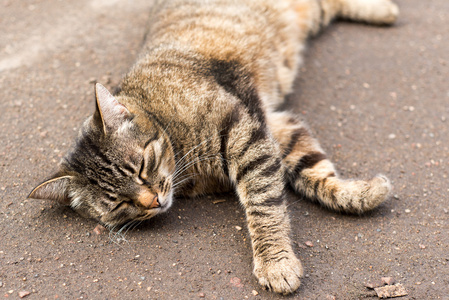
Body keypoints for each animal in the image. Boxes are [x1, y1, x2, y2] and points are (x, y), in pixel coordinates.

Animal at [29, 0, 398, 296]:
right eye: (120, 203)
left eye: (142, 167)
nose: (153, 201)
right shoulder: (275, 127)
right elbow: (314, 173)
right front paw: (361, 194)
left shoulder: (246, 135)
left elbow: (264, 206)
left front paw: (275, 262)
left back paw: (385, 11)